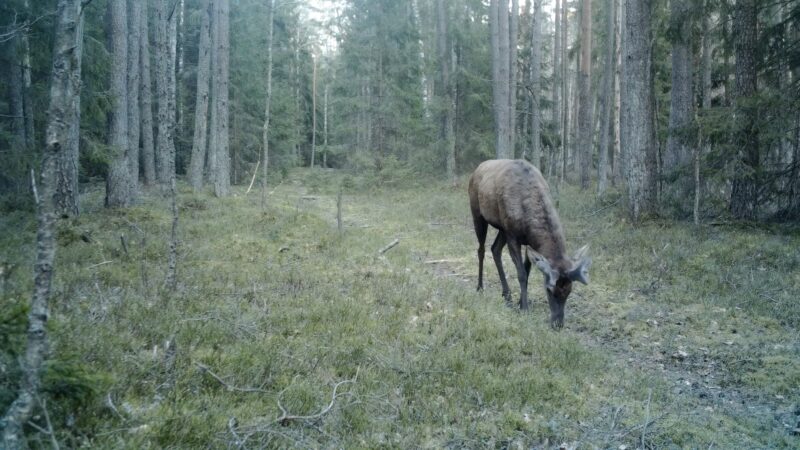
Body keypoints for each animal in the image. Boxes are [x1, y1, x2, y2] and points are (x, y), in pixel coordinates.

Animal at [468, 160, 588, 328]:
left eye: (569, 290)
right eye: (549, 289)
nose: (558, 324)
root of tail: (477, 168)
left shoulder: (528, 241)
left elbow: (527, 270)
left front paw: (520, 302)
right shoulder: (513, 236)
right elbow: (522, 274)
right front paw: (524, 308)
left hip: (502, 228)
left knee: (495, 249)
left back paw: (507, 294)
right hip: (478, 214)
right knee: (481, 250)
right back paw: (480, 287)